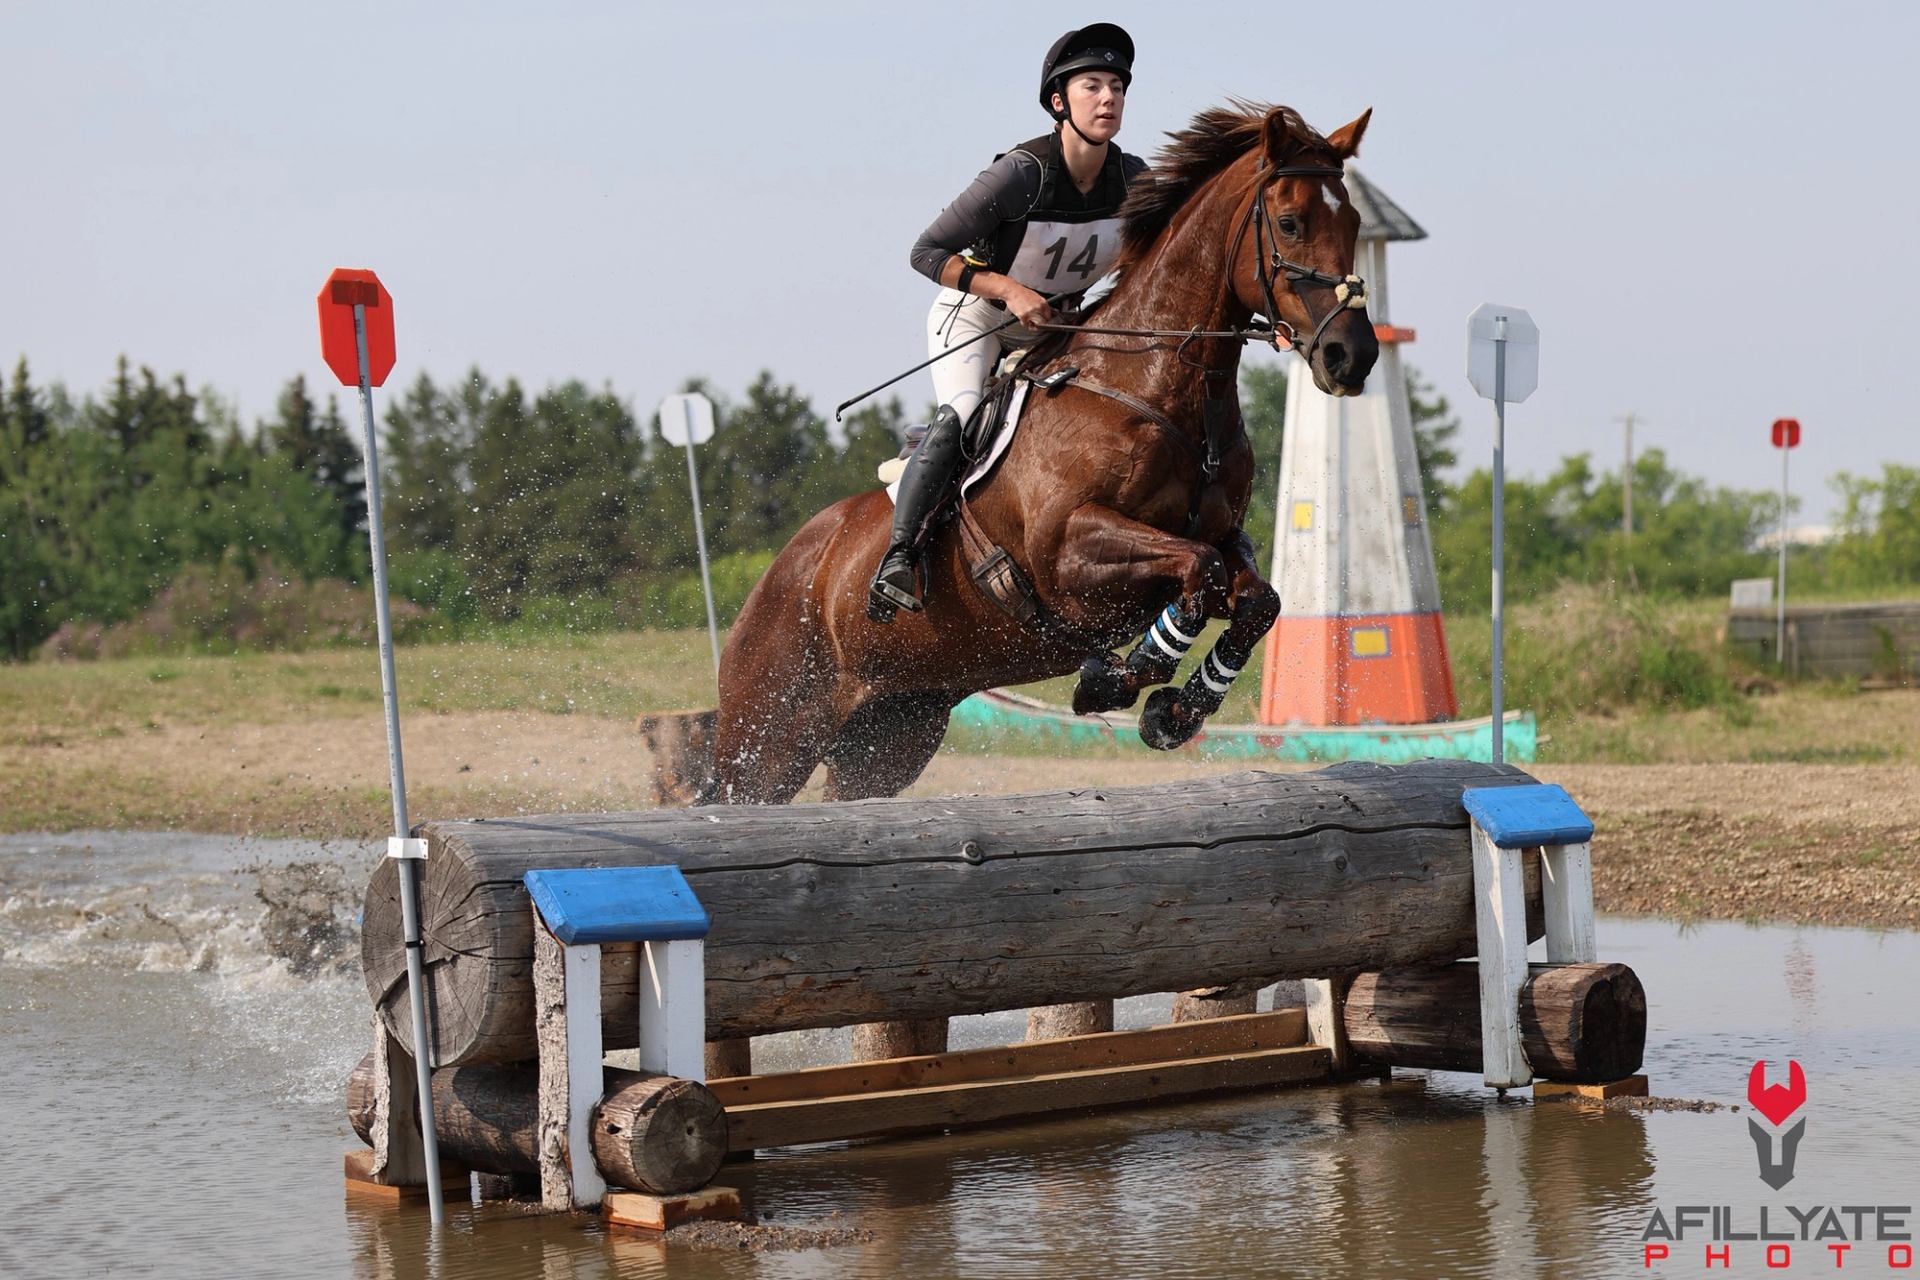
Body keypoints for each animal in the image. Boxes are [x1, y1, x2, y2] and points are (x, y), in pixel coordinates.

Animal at [700, 102, 1380, 805]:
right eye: (1290, 222)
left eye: (1355, 223)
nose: (1351, 356)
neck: (1157, 386)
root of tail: (782, 571)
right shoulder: (1067, 553)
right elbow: (1199, 570)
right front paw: (1121, 675)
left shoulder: (1219, 539)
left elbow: (1254, 596)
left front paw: (1175, 710)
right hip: (769, 736)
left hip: (891, 734)